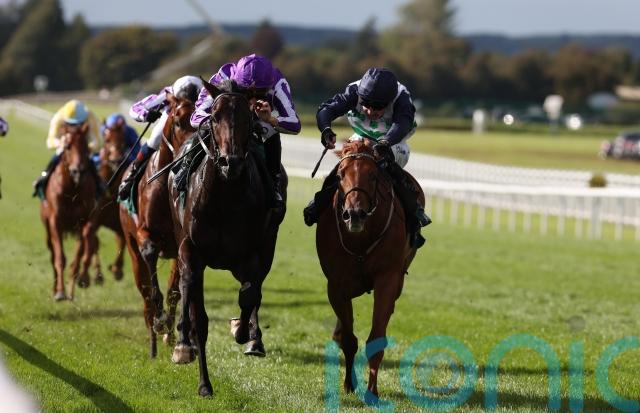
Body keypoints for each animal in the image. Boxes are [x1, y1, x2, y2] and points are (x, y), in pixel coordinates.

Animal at [40, 123, 99, 301]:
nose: (78, 171)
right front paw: (60, 292)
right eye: (67, 146)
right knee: (52, 254)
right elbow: (59, 258)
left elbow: (81, 253)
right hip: (47, 229)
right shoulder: (55, 221)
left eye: (86, 146)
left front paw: (81, 281)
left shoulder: (85, 220)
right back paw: (56, 290)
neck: (72, 190)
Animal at [119, 93, 194, 358]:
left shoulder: (182, 243)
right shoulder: (145, 234)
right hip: (131, 245)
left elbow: (175, 292)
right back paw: (152, 327)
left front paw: (172, 331)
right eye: (179, 121)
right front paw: (159, 318)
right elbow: (150, 256)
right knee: (143, 288)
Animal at [167, 79, 287, 396]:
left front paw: (242, 331)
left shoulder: (252, 252)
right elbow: (198, 314)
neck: (224, 197)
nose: (229, 163)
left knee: (255, 292)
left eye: (249, 118)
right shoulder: (191, 249)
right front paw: (200, 376)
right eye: (214, 116)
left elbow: (249, 295)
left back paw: (253, 338)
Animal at [316, 139, 424, 398]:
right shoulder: (336, 285)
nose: (354, 214)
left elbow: (376, 338)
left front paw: (372, 390)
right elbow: (348, 339)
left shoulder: (387, 279)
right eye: (341, 174)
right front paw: (348, 384)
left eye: (373, 176)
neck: (360, 240)